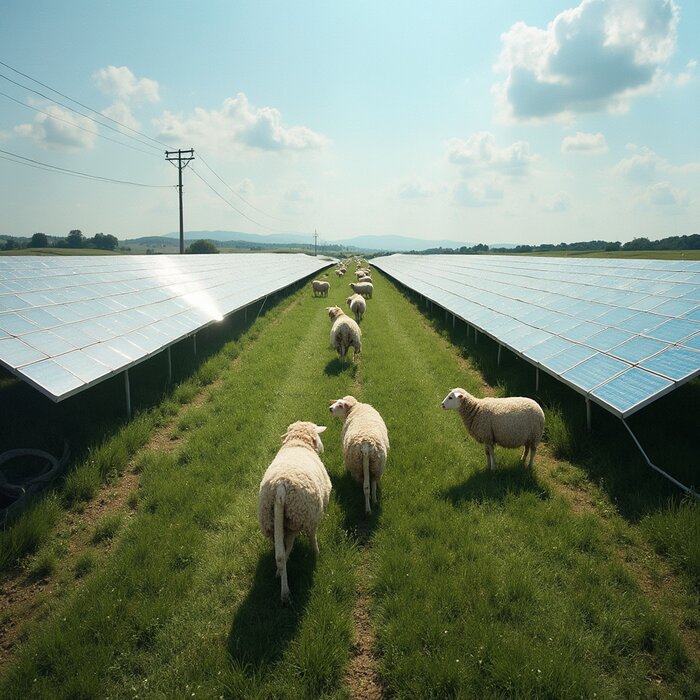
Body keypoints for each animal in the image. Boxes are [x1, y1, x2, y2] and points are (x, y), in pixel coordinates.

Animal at [258, 418, 332, 604]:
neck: (298, 443)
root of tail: (280, 485)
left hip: (273, 521)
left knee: (280, 555)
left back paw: (280, 579)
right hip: (304, 515)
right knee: (306, 538)